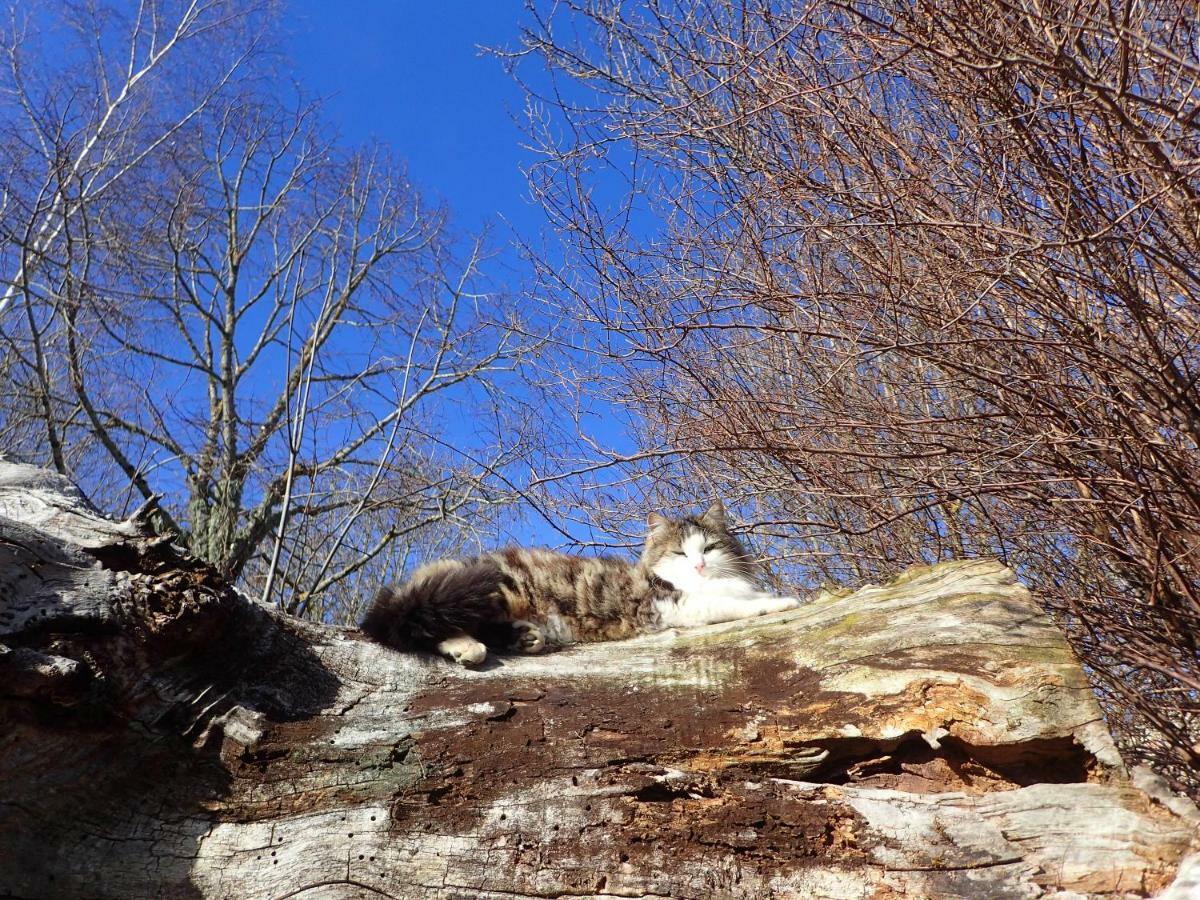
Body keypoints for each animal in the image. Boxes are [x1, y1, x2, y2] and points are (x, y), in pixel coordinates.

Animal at [360, 501, 801, 672]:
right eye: (679, 553)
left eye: (708, 547)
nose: (699, 564)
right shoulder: (667, 605)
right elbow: (733, 604)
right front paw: (779, 602)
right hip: (482, 590)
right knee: (416, 628)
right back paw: (468, 647)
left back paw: (524, 636)